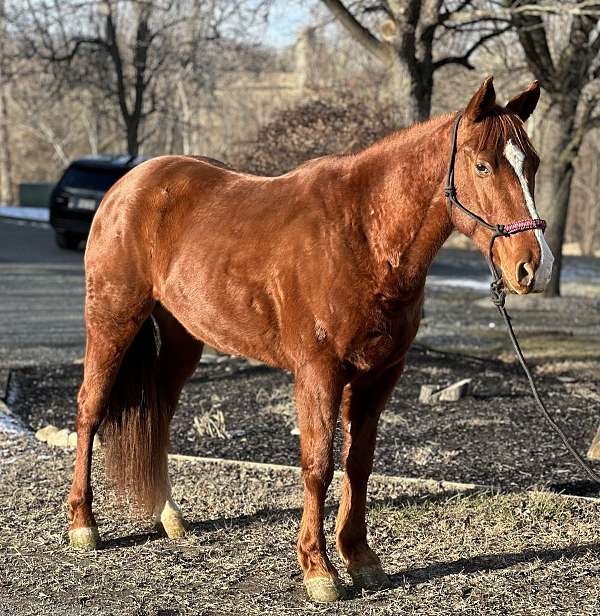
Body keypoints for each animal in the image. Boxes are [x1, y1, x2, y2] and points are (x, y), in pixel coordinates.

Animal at [67, 77, 552, 600]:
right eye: (482, 165)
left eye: (532, 163)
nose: (533, 267)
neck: (362, 234)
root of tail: (128, 186)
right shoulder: (319, 372)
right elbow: (318, 465)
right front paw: (318, 569)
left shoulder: (379, 375)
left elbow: (359, 463)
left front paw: (360, 557)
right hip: (112, 321)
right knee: (91, 408)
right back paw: (83, 524)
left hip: (182, 339)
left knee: (157, 412)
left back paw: (168, 516)